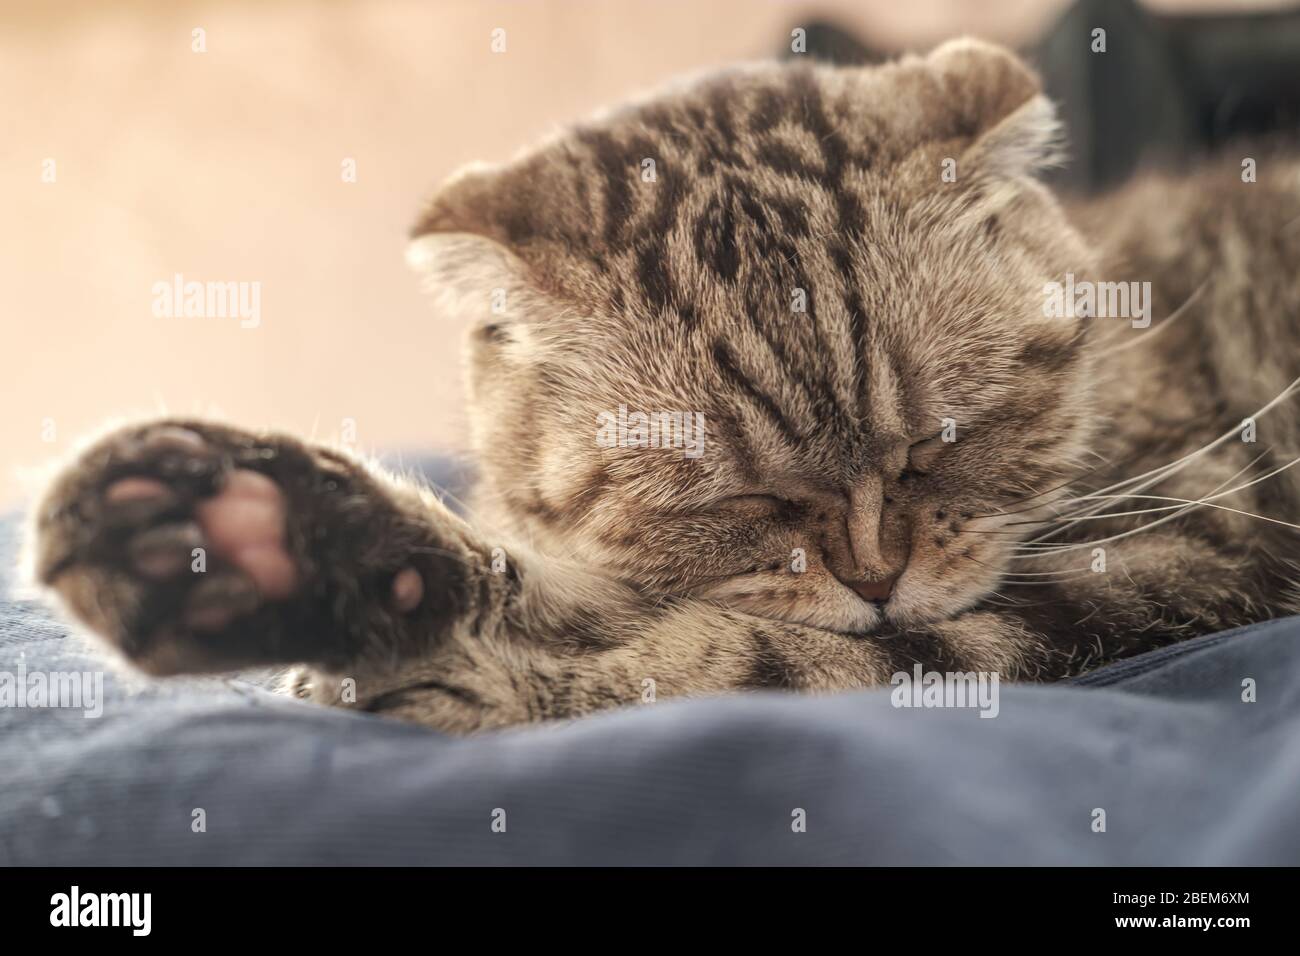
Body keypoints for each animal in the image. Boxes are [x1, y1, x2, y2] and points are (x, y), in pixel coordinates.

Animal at [22, 39, 1300, 733]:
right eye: (739, 503)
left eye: (937, 443)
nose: (875, 574)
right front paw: (272, 546)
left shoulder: (1188, 554)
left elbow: (720, 662)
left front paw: (428, 644)